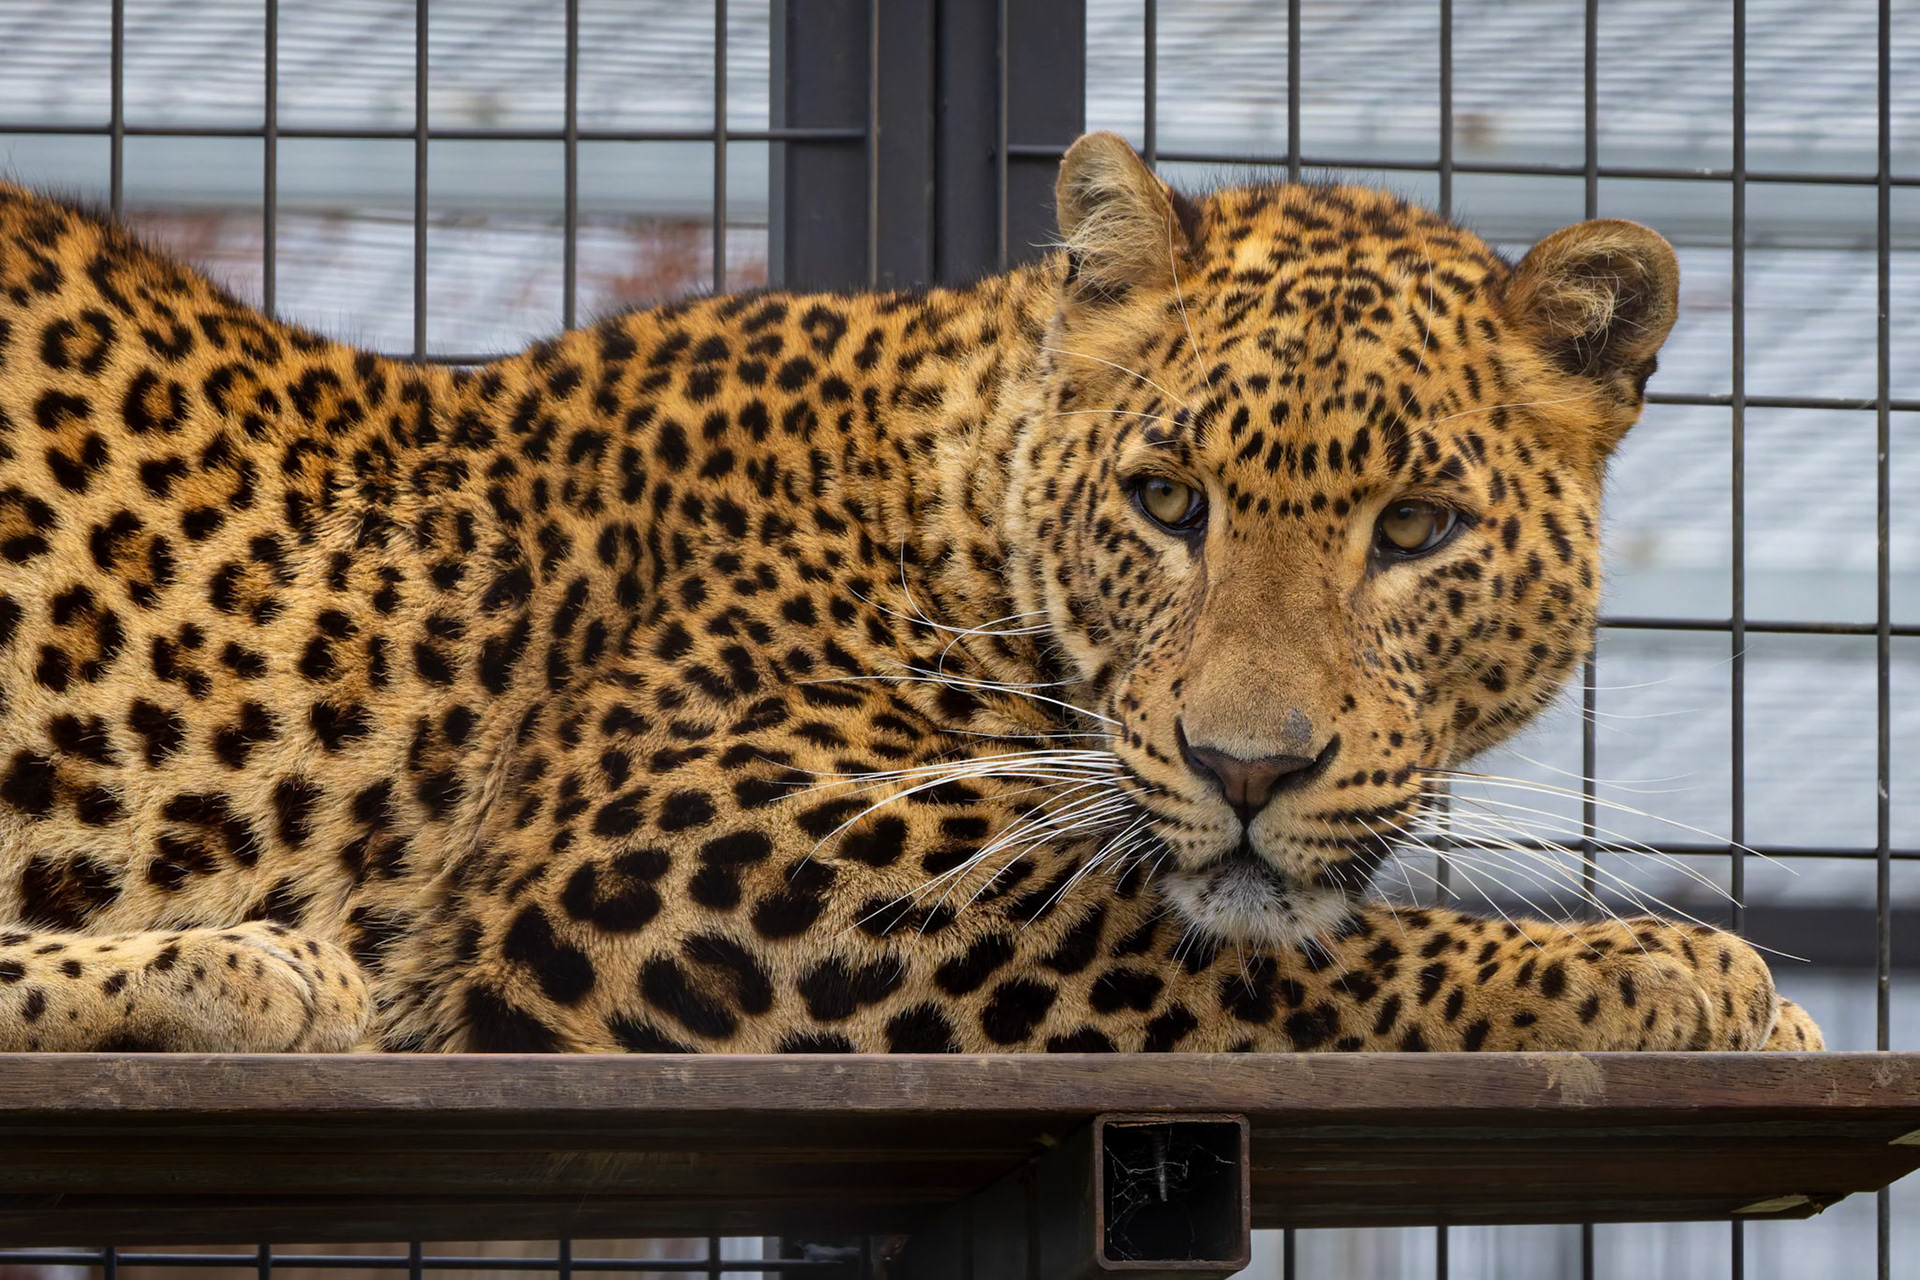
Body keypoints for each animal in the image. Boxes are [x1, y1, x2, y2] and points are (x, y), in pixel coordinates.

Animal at [0, 131, 1821, 1056]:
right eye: (1169, 502)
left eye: (1421, 528)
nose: (1249, 769)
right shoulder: (682, 847)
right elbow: (1217, 955)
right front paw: (1666, 980)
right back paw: (240, 974)